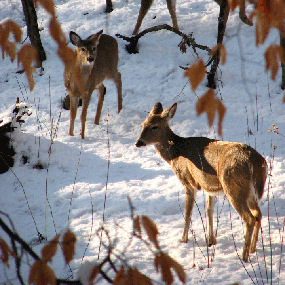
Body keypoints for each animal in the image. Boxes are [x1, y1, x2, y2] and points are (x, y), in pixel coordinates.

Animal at [135, 102, 266, 262]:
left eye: (154, 126)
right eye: (142, 125)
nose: (138, 142)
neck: (176, 154)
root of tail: (255, 162)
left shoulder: (188, 182)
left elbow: (188, 213)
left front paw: (183, 239)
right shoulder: (208, 186)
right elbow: (209, 211)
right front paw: (211, 240)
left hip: (234, 187)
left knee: (249, 218)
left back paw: (244, 256)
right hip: (252, 192)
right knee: (258, 215)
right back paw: (253, 249)